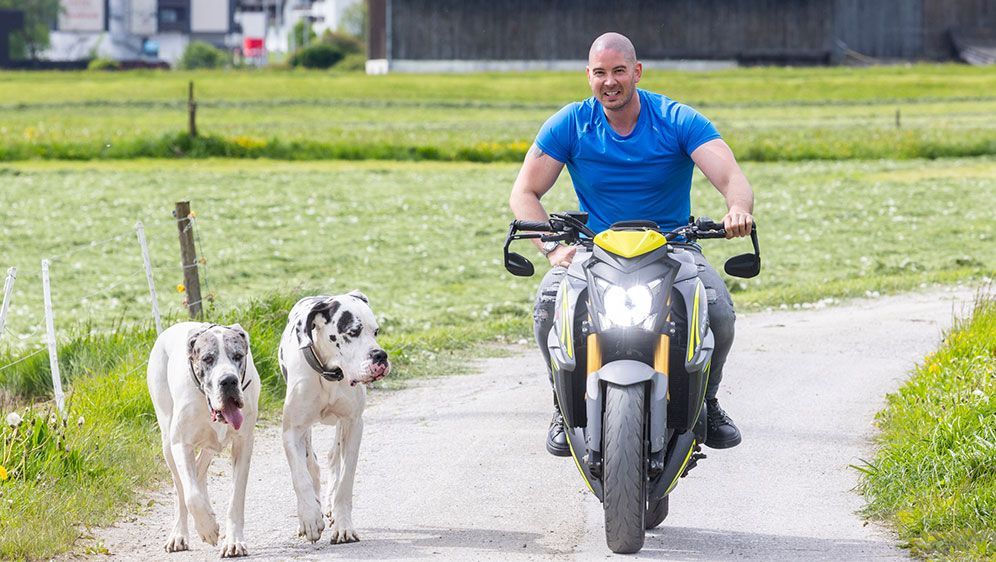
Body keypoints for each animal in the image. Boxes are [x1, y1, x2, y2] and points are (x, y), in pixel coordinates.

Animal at [146, 322, 260, 552]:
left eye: (238, 356)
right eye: (208, 359)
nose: (228, 380)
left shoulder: (244, 443)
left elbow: (236, 497)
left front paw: (233, 541)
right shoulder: (181, 444)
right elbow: (191, 495)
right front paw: (207, 527)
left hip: (210, 445)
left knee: (200, 469)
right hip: (167, 442)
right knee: (181, 486)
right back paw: (179, 534)